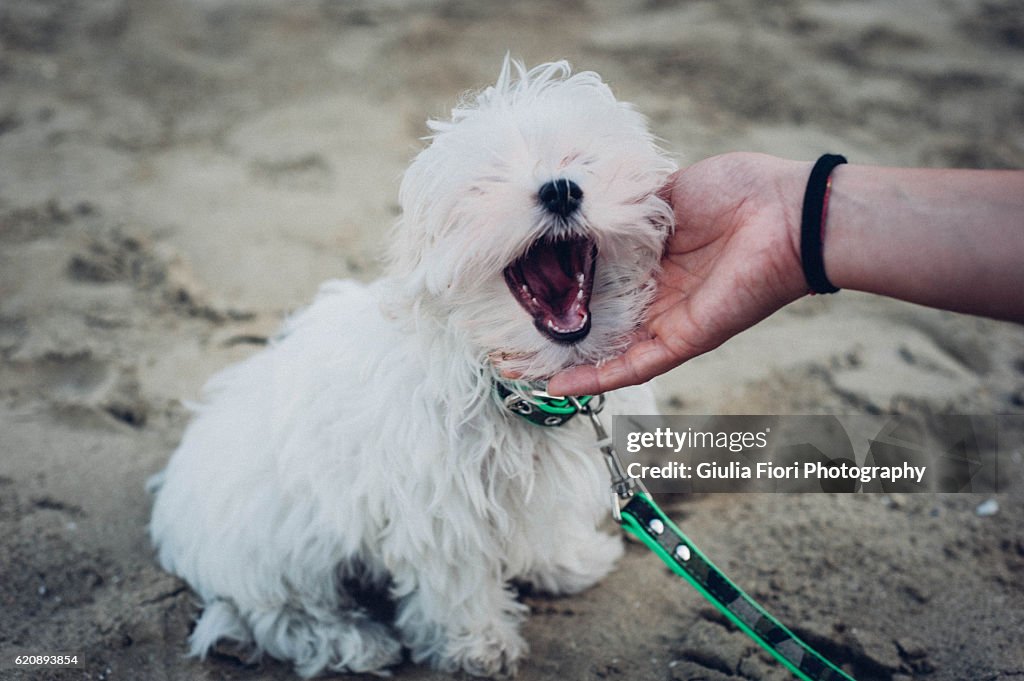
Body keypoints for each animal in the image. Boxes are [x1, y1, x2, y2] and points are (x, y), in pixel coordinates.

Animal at [148, 57, 675, 675]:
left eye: (583, 160)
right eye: (486, 182)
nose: (561, 189)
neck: (508, 380)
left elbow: (542, 527)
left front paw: (567, 562)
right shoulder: (441, 509)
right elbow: (458, 583)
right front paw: (481, 645)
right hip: (271, 548)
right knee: (274, 614)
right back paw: (349, 639)